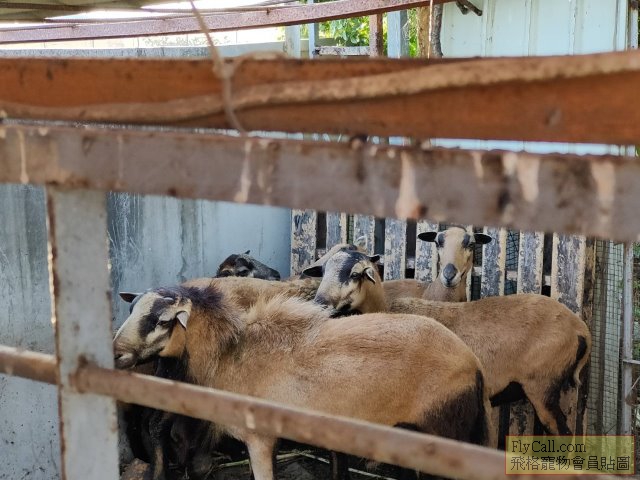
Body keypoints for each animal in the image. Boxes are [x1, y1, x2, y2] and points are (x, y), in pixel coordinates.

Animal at [114, 280, 492, 480]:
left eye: (162, 321)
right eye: (131, 310)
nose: (115, 354)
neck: (229, 354)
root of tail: (473, 363)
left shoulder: (260, 438)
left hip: (443, 433)